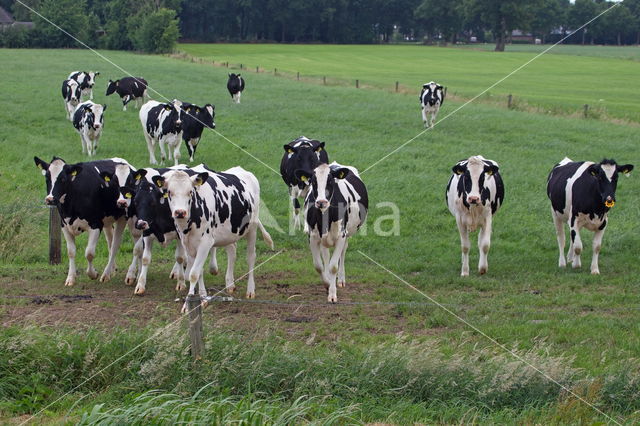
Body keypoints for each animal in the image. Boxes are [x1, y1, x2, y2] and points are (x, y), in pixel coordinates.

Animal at [34, 156, 130, 286]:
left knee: (115, 245)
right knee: (110, 242)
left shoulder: (96, 225)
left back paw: (107, 273)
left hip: (122, 218)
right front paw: (70, 278)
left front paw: (93, 274)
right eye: (47, 177)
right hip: (107, 221)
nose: (50, 199)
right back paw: (111, 271)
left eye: (63, 179)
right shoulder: (64, 226)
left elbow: (89, 253)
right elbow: (71, 252)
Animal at [156, 166, 276, 310]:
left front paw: (188, 304)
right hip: (229, 233)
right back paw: (230, 284)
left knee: (251, 257)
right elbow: (198, 271)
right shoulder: (188, 244)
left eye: (190, 192)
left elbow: (193, 274)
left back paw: (250, 290)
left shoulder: (205, 243)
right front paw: (202, 298)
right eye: (169, 192)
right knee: (232, 251)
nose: (180, 212)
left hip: (252, 228)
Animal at [296, 161, 368, 302]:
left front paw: (333, 294)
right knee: (326, 256)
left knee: (343, 253)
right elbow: (319, 265)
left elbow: (334, 266)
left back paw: (340, 280)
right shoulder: (312, 237)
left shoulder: (341, 236)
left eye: (330, 181)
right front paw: (328, 284)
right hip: (324, 239)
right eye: (313, 182)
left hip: (347, 234)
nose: (321, 202)